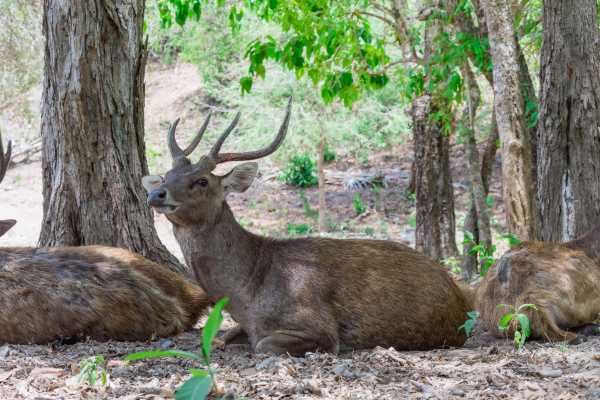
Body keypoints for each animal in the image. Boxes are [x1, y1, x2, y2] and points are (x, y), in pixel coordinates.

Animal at [142, 100, 474, 356]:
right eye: (167, 175)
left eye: (202, 181)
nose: (156, 194)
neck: (247, 294)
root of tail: (459, 295)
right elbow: (221, 338)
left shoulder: (317, 327)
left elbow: (263, 345)